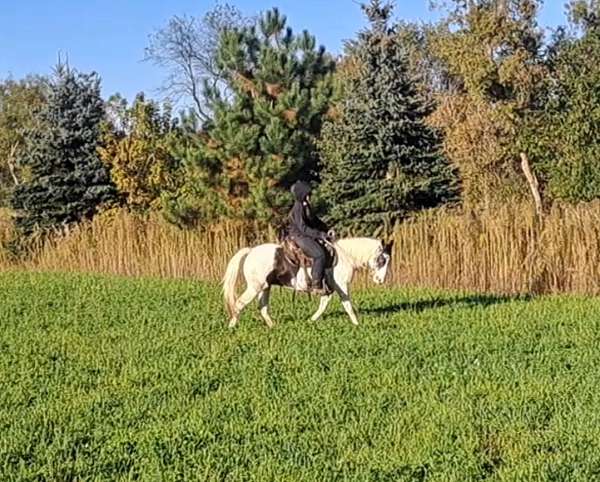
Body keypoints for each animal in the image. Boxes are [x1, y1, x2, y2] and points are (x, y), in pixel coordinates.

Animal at [221, 237, 394, 328]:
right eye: (382, 260)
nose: (380, 280)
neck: (345, 257)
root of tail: (250, 251)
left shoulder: (328, 290)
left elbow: (323, 306)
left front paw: (310, 321)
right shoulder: (341, 287)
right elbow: (348, 306)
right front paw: (357, 324)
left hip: (265, 287)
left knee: (262, 308)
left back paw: (273, 326)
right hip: (254, 287)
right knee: (239, 304)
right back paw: (232, 326)